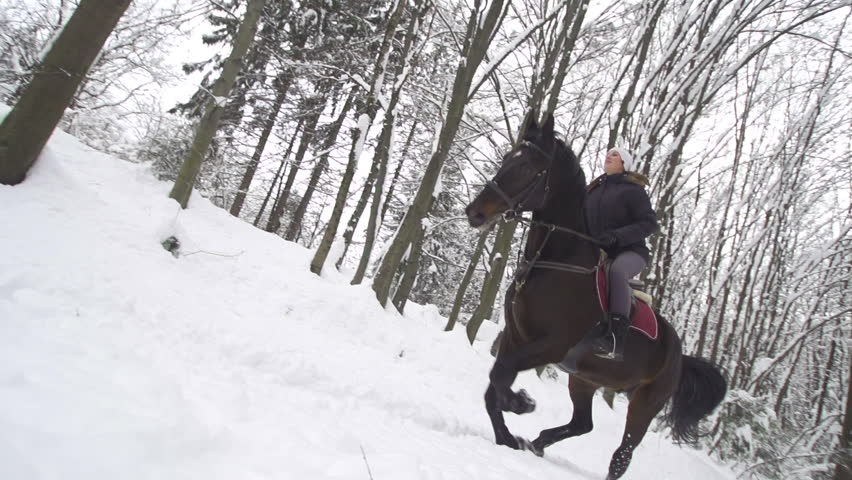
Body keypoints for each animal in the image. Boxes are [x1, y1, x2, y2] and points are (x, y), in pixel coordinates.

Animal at [466, 113, 724, 480]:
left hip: (646, 401)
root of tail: (679, 352)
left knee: (623, 453)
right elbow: (494, 385)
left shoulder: (551, 345)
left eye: (528, 167)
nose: (475, 213)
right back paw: (538, 442)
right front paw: (508, 435)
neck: (553, 262)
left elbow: (501, 375)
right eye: (505, 160)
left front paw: (522, 404)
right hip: (583, 378)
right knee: (582, 423)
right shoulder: (516, 336)